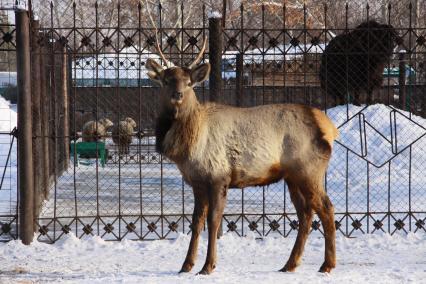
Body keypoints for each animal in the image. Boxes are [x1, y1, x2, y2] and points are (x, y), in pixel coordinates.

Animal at [146, 36, 340, 274]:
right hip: (292, 177)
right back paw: (290, 264)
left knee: (326, 208)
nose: (178, 94)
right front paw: (186, 265)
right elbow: (196, 221)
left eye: (189, 82)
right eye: (166, 81)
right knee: (305, 214)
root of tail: (329, 127)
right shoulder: (197, 182)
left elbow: (214, 221)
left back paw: (327, 264)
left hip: (309, 170)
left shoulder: (219, 176)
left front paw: (208, 265)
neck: (188, 147)